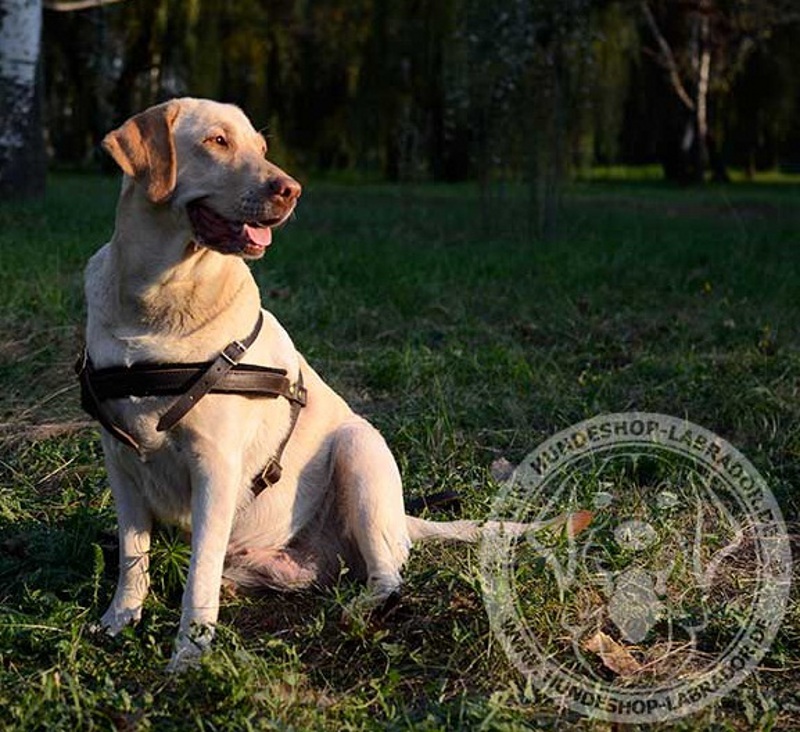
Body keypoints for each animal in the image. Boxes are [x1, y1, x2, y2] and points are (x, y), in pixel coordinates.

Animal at [81, 100, 584, 672]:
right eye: (217, 141)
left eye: (262, 147)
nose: (291, 190)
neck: (157, 301)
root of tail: (403, 519)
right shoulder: (120, 462)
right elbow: (133, 556)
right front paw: (119, 620)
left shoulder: (215, 465)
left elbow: (198, 576)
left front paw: (188, 654)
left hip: (359, 450)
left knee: (388, 576)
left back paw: (357, 611)